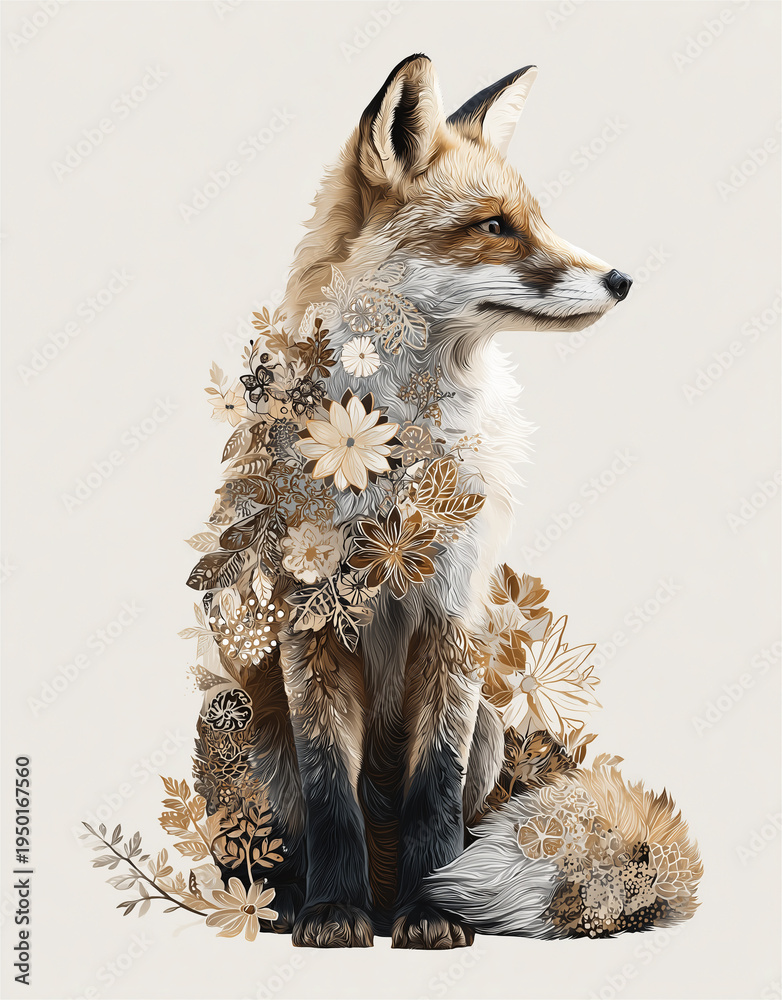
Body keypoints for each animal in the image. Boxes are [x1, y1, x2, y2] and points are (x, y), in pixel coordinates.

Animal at [187, 54, 699, 949]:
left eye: (535, 218)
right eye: (495, 225)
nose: (624, 280)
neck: (389, 465)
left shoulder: (452, 619)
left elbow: (434, 788)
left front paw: (434, 911)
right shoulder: (310, 629)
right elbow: (330, 792)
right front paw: (333, 910)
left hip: (490, 724)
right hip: (237, 718)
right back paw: (286, 900)